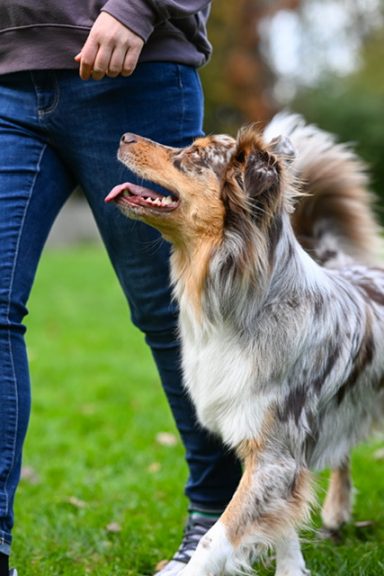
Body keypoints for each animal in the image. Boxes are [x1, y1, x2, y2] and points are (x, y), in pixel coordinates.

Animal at [106, 113, 384, 576]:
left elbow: (214, 540)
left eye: (195, 155)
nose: (124, 134)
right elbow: (283, 526)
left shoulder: (275, 451)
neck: (238, 306)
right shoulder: (269, 445)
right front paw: (293, 569)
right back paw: (335, 513)